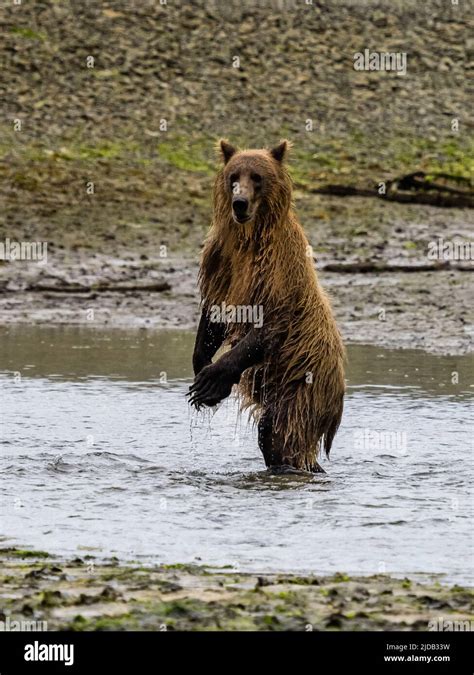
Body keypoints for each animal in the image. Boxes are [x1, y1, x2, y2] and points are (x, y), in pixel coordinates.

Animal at [188, 140, 344, 472]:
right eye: (233, 176)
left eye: (257, 177)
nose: (240, 203)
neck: (249, 238)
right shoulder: (222, 260)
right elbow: (214, 312)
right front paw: (201, 368)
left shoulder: (276, 272)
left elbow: (269, 324)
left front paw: (211, 380)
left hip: (303, 381)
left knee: (280, 431)